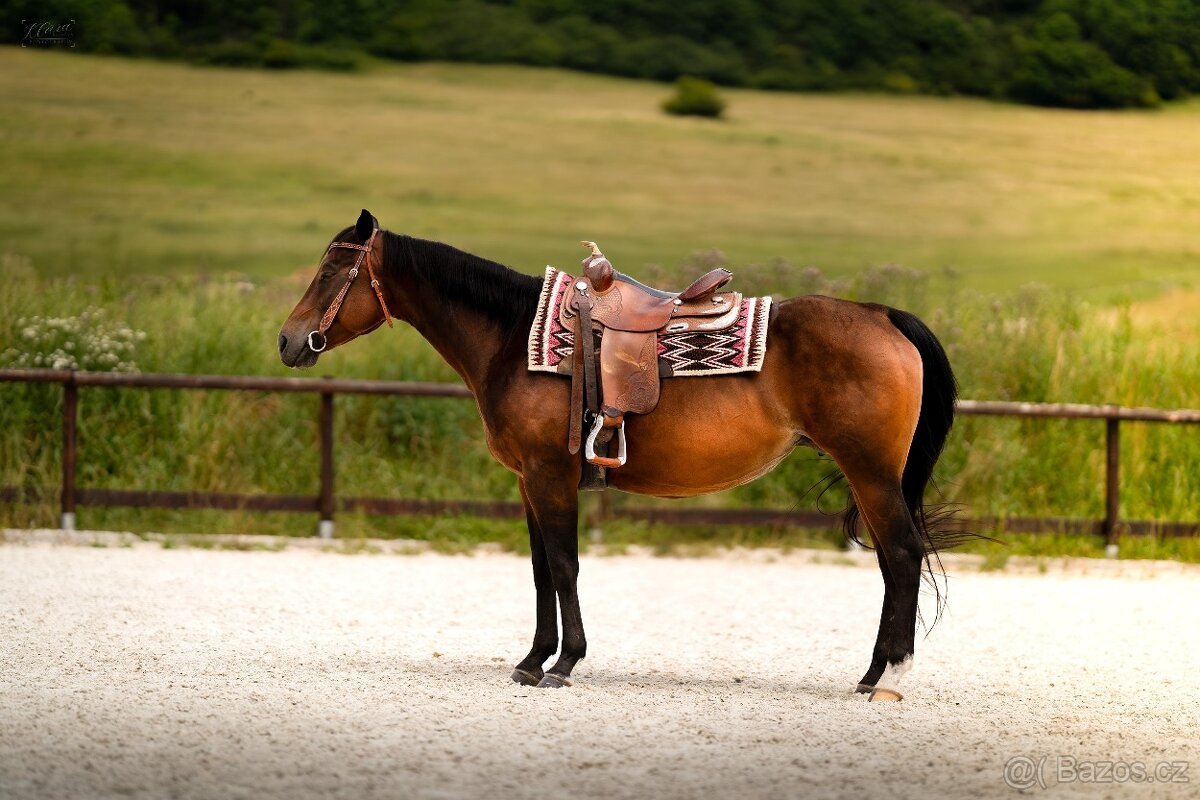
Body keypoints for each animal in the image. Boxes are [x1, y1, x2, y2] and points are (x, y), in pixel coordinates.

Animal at [279, 209, 966, 702]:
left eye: (329, 274)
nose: (288, 341)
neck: (512, 338)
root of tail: (884, 316)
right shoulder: (529, 481)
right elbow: (540, 571)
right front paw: (532, 661)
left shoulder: (550, 476)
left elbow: (564, 565)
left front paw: (565, 663)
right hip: (869, 476)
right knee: (889, 562)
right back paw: (871, 674)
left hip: (870, 471)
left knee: (903, 556)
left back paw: (890, 679)